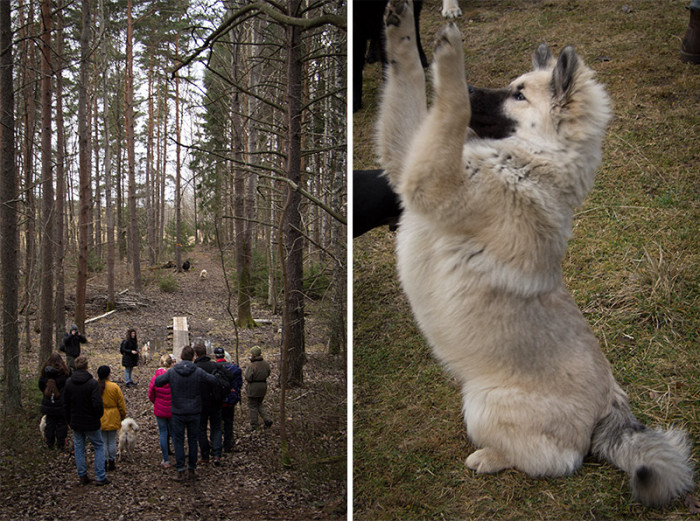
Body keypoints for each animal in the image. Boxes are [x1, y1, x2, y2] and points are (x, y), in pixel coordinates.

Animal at [374, 0, 692, 504]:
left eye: (518, 95)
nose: (472, 85)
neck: (532, 163)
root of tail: (611, 404)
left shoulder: (430, 180)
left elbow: (450, 108)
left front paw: (450, 58)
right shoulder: (406, 159)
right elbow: (407, 78)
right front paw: (403, 29)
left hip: (482, 401)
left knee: (557, 460)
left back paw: (490, 457)